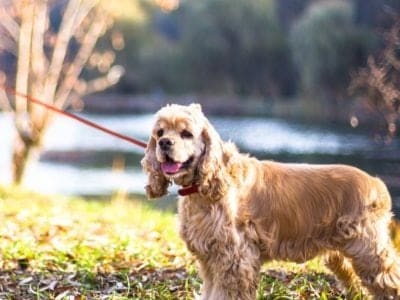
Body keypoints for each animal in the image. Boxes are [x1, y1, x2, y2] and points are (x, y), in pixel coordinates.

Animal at [141, 103, 400, 300]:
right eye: (160, 133)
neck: (204, 187)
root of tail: (377, 183)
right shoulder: (211, 260)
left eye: (186, 134)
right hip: (341, 256)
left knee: (390, 279)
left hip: (369, 251)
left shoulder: (235, 260)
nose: (164, 143)